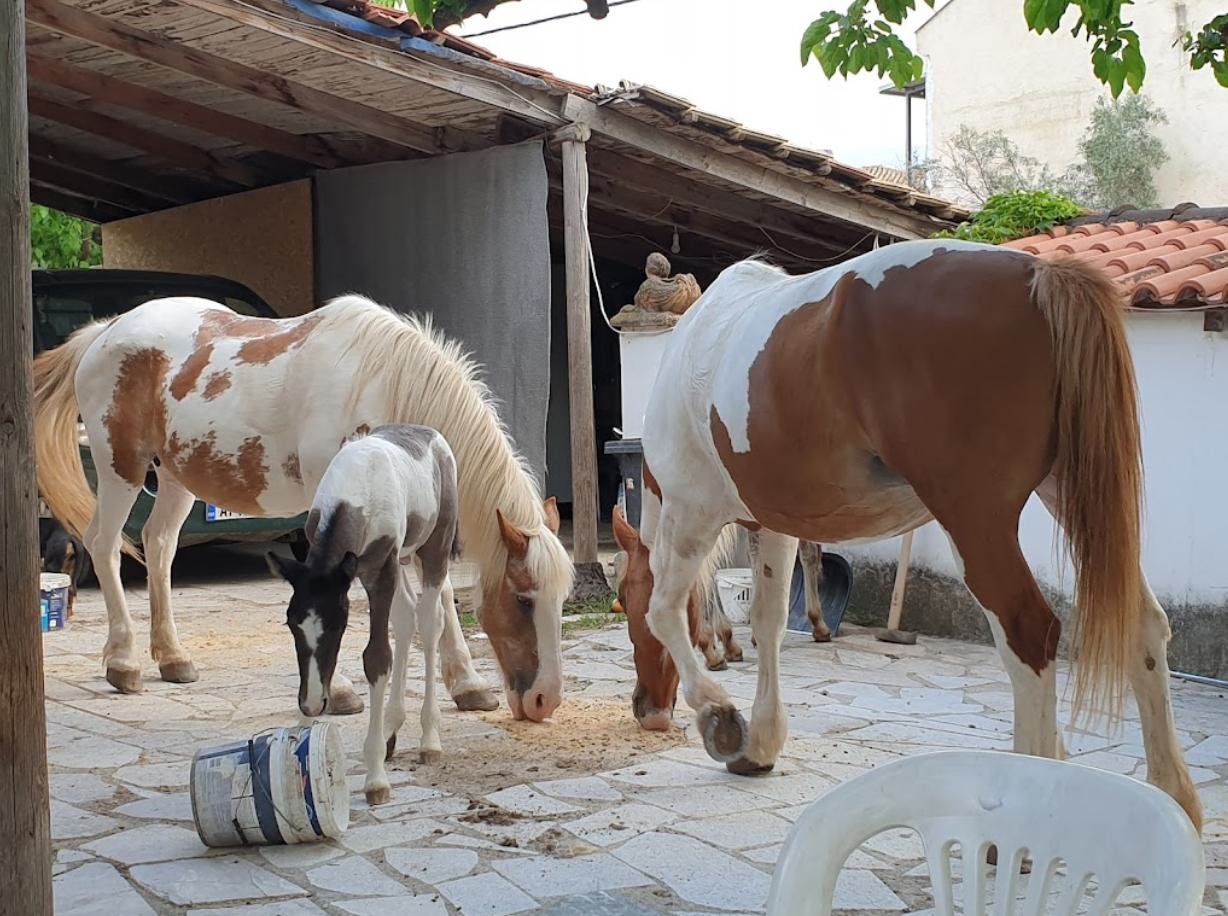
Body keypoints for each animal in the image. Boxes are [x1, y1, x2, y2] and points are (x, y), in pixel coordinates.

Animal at [33, 295, 573, 724]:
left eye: (561, 599)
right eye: (523, 599)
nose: (545, 700)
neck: (383, 381)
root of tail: (106, 331)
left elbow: (437, 595)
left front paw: (467, 684)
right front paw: (340, 691)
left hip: (173, 475)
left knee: (160, 544)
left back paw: (172, 658)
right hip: (120, 467)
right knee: (105, 543)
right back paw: (123, 663)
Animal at [268, 424, 465, 804]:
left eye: (339, 626)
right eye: (291, 625)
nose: (312, 704)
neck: (357, 494)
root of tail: (430, 433)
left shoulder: (381, 570)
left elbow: (376, 658)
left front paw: (375, 778)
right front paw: (300, 742)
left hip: (432, 549)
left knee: (429, 621)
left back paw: (429, 740)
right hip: (402, 560)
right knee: (405, 617)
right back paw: (391, 730)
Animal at [617, 239, 1202, 828]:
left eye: (623, 602)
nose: (646, 711)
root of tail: (1040, 274)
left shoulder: (689, 511)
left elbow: (666, 611)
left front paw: (721, 719)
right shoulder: (774, 528)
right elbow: (769, 622)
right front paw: (759, 742)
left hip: (974, 522)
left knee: (1029, 633)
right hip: (1064, 495)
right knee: (1144, 625)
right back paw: (1175, 801)